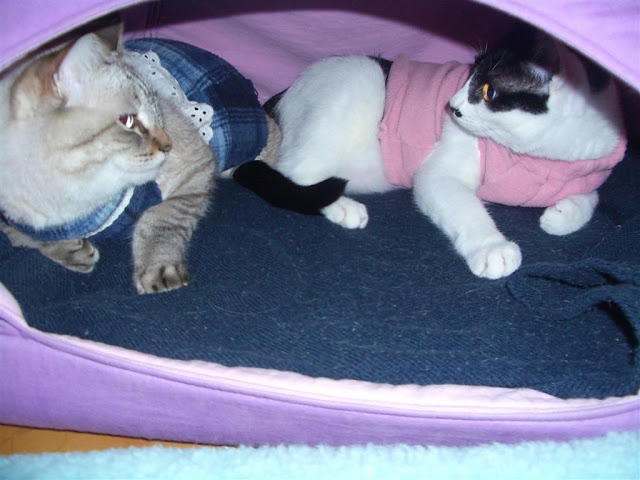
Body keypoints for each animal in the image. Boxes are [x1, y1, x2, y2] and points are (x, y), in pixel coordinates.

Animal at [0, 24, 274, 293]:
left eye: (157, 113)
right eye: (128, 121)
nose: (168, 146)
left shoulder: (196, 169)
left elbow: (161, 219)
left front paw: (158, 267)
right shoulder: (15, 219)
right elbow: (27, 238)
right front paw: (69, 249)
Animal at [237, 26, 626, 279]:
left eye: (488, 91)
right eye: (469, 76)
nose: (451, 107)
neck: (547, 157)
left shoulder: (588, 174)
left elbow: (591, 198)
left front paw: (562, 215)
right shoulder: (439, 173)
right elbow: (465, 208)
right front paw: (491, 247)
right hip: (352, 91)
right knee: (297, 171)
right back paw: (343, 206)